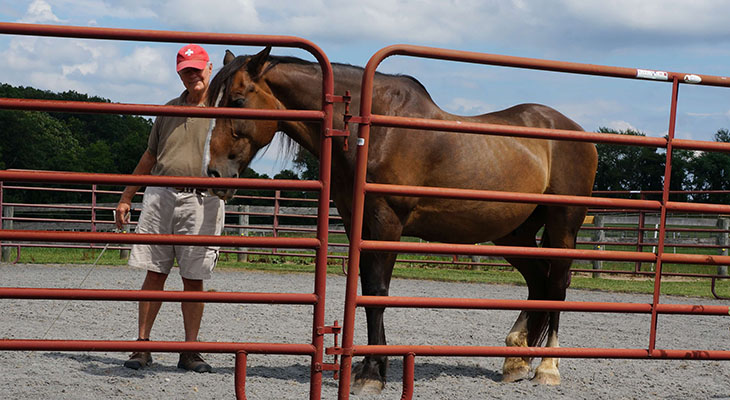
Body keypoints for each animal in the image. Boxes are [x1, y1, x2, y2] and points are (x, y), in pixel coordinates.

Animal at [204, 47, 598, 395]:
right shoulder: (359, 224)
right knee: (539, 283)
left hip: (563, 227)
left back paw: (547, 368)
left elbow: (377, 292)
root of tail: (577, 132)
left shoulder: (386, 223)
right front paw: (371, 367)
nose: (215, 172)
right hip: (513, 235)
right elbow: (366, 290)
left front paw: (371, 375)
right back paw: (517, 360)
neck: (369, 130)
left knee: (557, 284)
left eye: (237, 100)